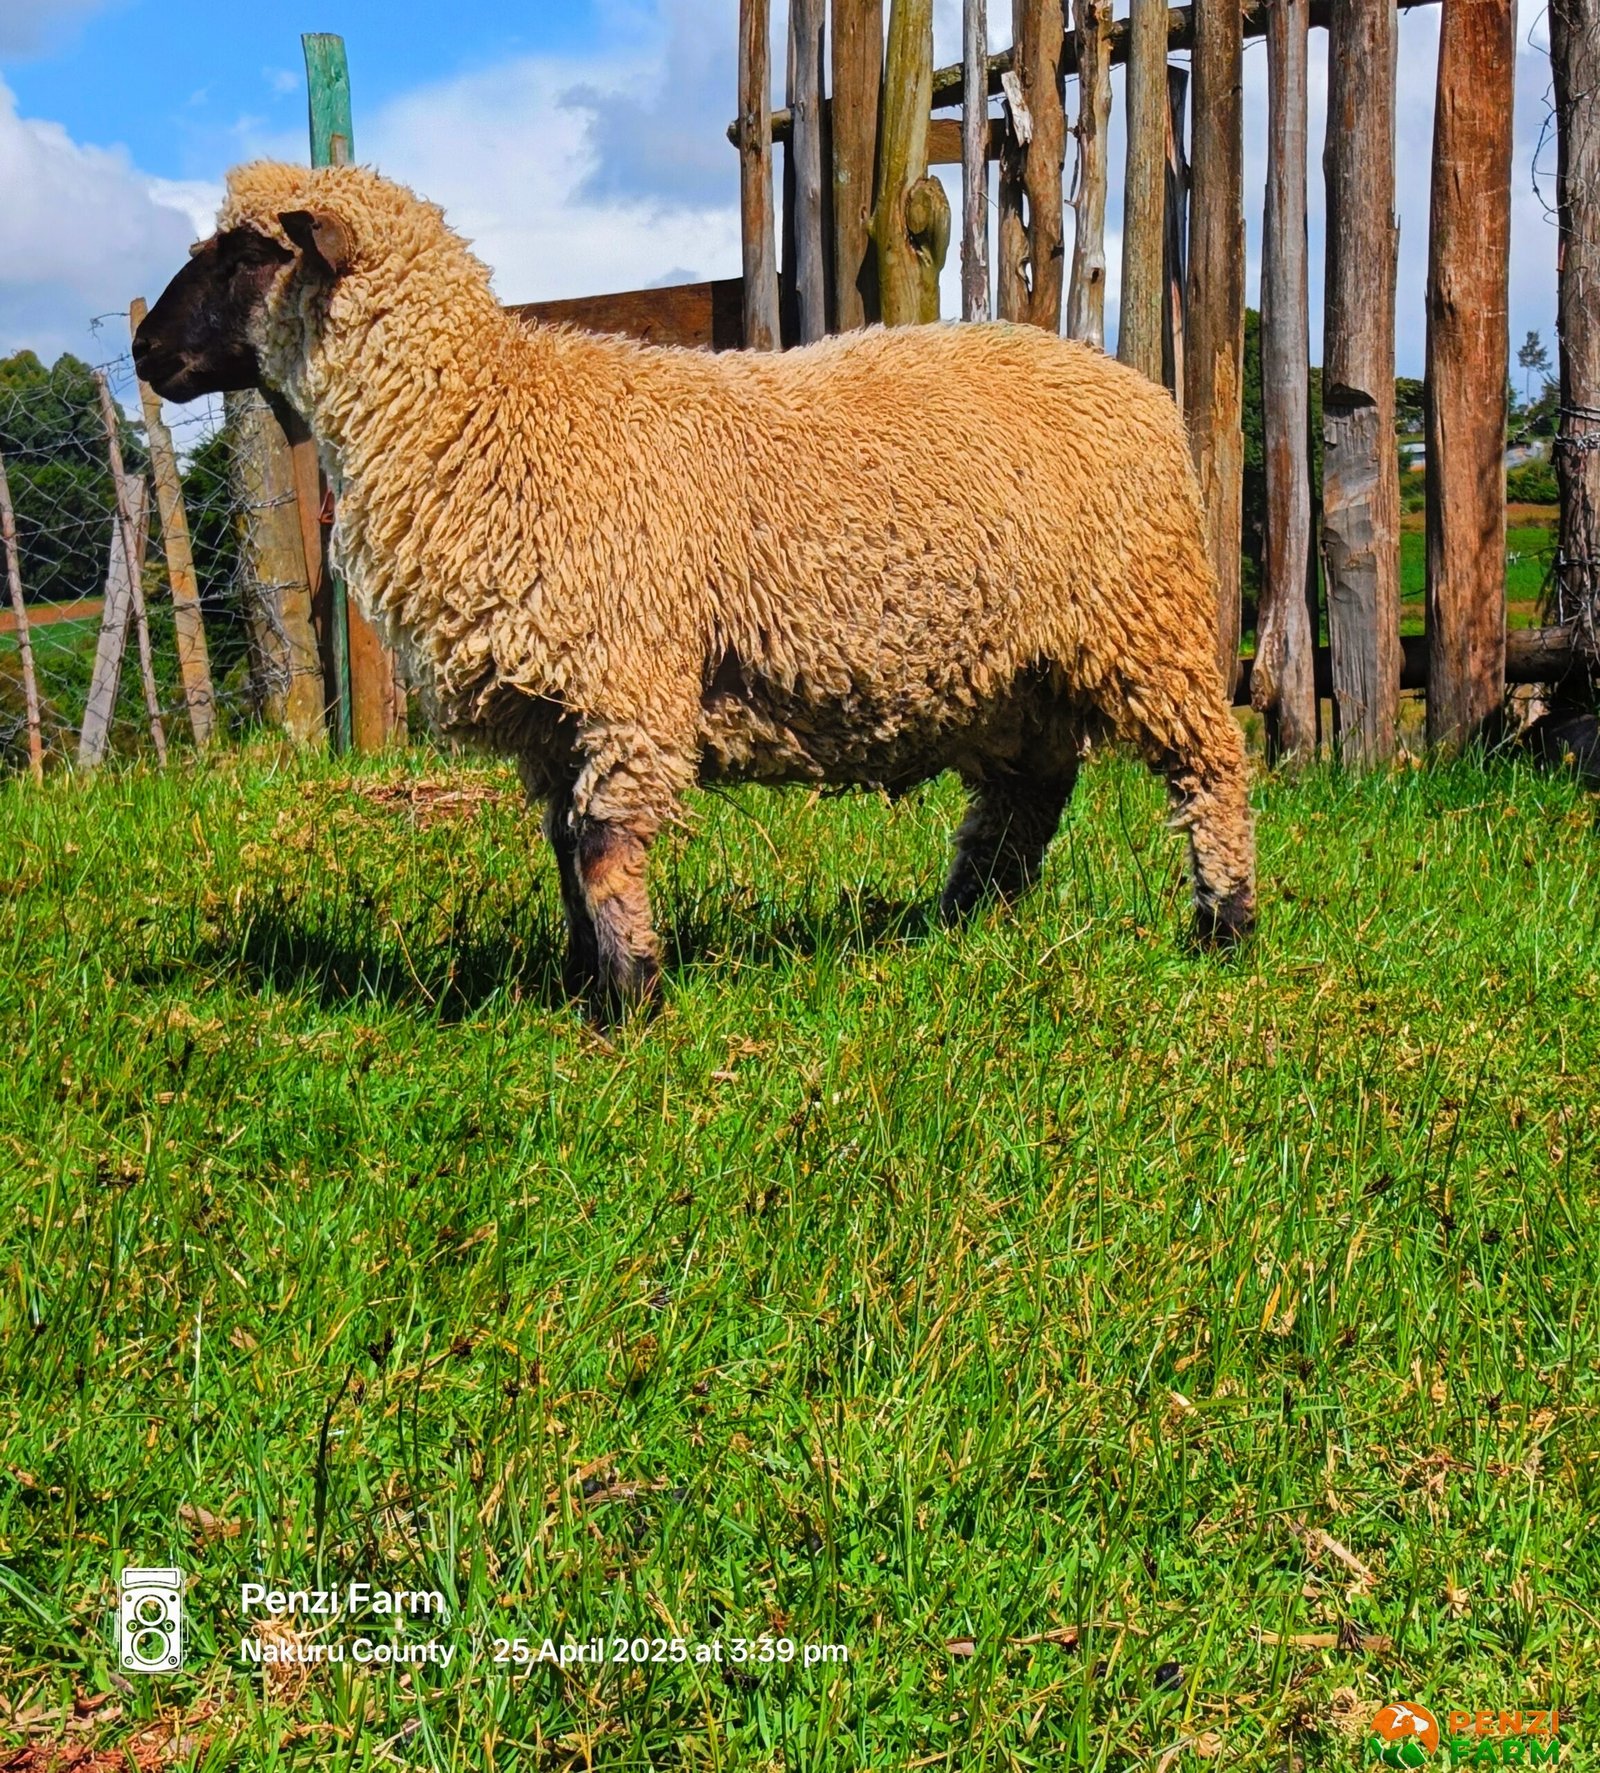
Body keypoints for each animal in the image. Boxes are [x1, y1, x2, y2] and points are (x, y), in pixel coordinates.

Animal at [133, 162, 1255, 1014]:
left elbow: (602, 850)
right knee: (1028, 795)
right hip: (1016, 668)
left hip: (1147, 624)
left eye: (248, 251)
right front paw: (580, 983)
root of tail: (1135, 383)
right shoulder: (553, 713)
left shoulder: (624, 682)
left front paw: (632, 1006)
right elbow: (561, 850)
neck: (483, 419)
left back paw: (1222, 926)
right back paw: (962, 922)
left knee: (1209, 769)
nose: (145, 350)